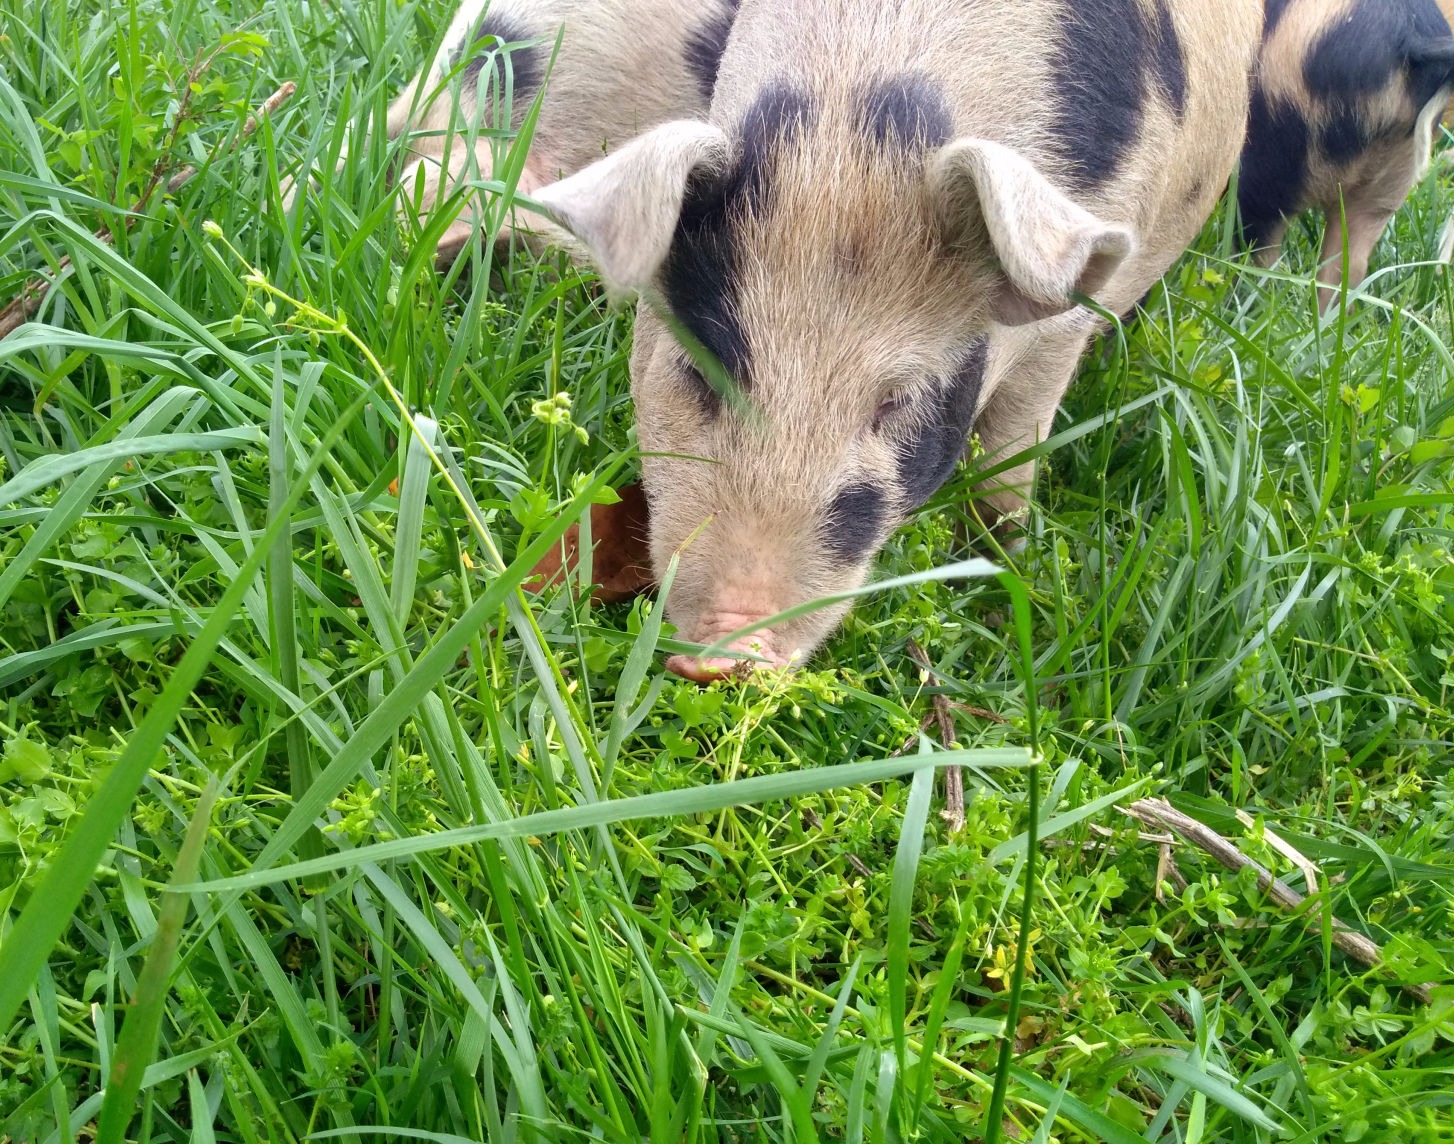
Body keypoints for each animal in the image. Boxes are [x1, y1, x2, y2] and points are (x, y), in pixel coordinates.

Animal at [533, 0, 1263, 681]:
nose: (729, 647)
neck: (854, 128)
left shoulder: (1065, 326)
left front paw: (1000, 568)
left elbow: (1011, 455)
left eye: (899, 402)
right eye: (695, 369)